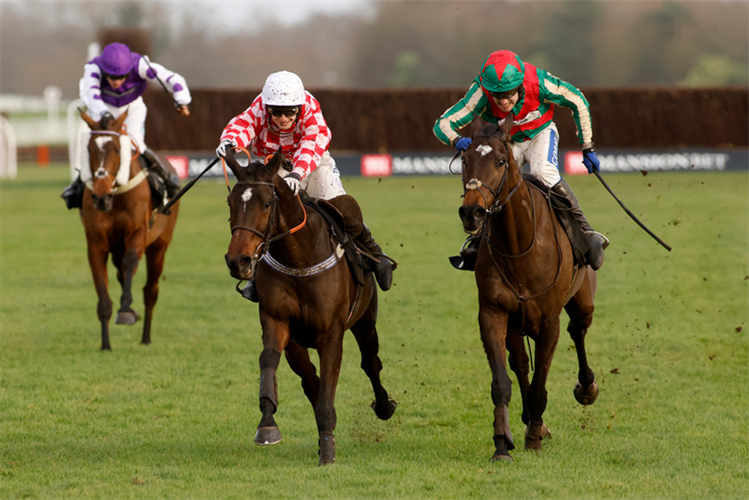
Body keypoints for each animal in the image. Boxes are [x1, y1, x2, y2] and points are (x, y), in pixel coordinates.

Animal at [78, 111, 180, 350]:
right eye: (89, 149)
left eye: (117, 149)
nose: (101, 198)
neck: (116, 197)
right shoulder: (96, 244)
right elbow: (104, 295)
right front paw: (105, 344)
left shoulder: (137, 235)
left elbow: (131, 262)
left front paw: (125, 309)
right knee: (122, 274)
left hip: (159, 247)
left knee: (150, 290)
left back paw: (146, 337)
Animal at [222, 148, 398, 464]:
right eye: (230, 202)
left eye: (266, 203)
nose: (237, 261)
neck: (298, 259)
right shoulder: (278, 323)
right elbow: (271, 362)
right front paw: (267, 426)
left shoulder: (332, 335)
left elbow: (329, 387)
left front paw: (327, 452)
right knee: (310, 379)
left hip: (366, 320)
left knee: (370, 362)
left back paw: (383, 406)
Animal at [458, 117, 600, 460]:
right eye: (465, 162)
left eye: (500, 161)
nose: (472, 213)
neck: (518, 245)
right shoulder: (494, 314)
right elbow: (503, 379)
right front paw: (502, 443)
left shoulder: (549, 321)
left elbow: (540, 382)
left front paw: (534, 435)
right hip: (517, 323)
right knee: (521, 363)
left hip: (582, 300)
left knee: (578, 330)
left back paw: (586, 388)